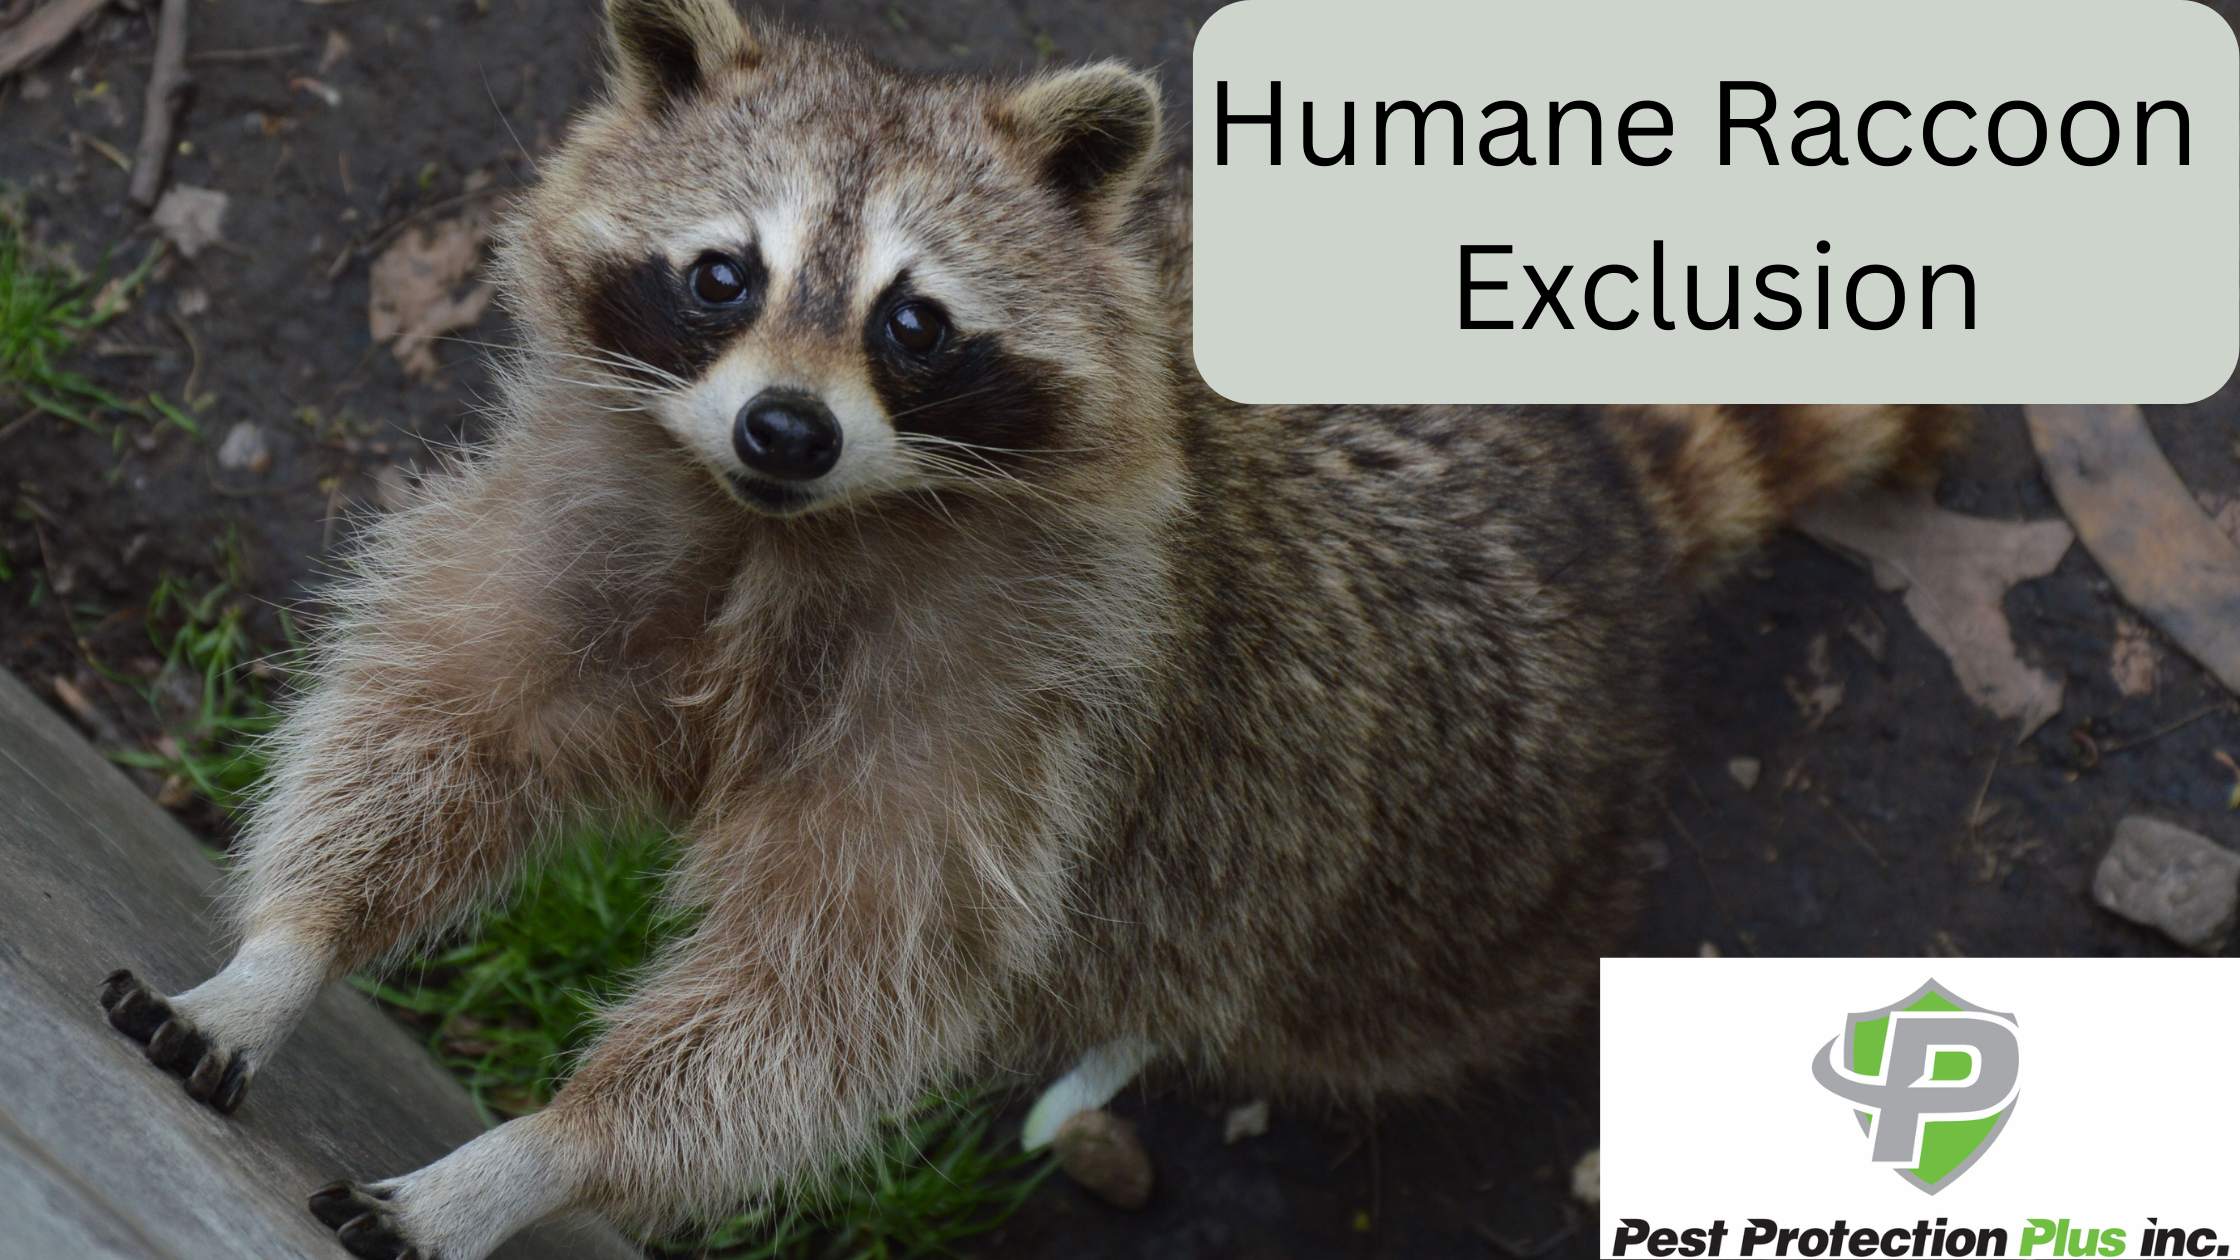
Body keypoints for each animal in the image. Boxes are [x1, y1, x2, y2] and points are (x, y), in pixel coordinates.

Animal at [94, 2, 1963, 1256]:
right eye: (721, 274)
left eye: (914, 325)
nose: (785, 425)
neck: (787, 530)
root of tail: (1591, 484)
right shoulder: (595, 516)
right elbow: (432, 729)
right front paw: (284, 958)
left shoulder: (1014, 730)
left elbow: (819, 1000)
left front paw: (537, 1153)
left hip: (1469, 875)